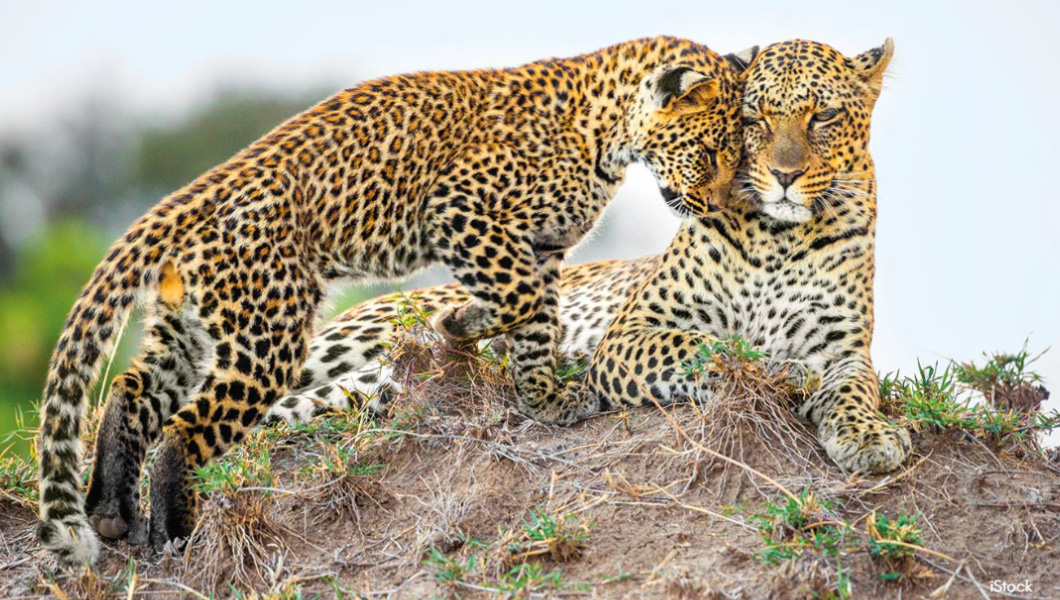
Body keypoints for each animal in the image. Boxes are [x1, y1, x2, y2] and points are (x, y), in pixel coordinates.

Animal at [39, 37, 746, 568]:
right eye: (711, 150)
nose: (718, 206)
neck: (608, 127)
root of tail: (194, 195)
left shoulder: (542, 246)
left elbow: (536, 317)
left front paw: (543, 397)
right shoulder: (462, 209)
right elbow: (517, 297)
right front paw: (462, 321)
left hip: (191, 328)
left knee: (131, 389)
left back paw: (110, 510)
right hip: (271, 336)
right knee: (185, 428)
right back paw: (174, 530)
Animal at [269, 38, 907, 479]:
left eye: (823, 116)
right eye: (755, 120)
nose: (784, 176)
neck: (781, 236)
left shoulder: (846, 348)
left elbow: (854, 390)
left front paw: (869, 438)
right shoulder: (633, 332)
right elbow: (711, 347)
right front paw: (783, 372)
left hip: (356, 385)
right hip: (341, 341)